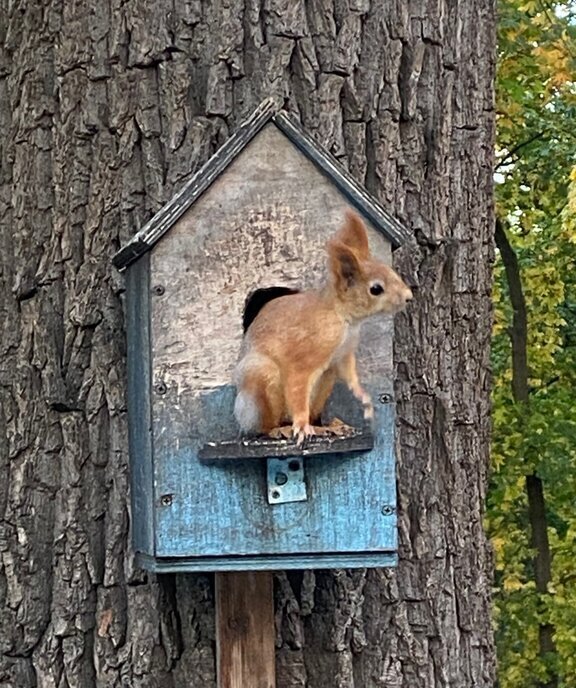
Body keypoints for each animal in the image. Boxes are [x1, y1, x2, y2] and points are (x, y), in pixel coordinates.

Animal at [232, 211, 412, 446]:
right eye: (376, 289)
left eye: (391, 271)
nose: (409, 297)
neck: (343, 318)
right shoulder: (303, 358)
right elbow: (297, 389)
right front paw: (301, 426)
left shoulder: (342, 356)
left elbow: (350, 375)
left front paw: (363, 396)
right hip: (260, 379)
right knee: (262, 427)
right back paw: (280, 429)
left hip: (325, 382)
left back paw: (326, 427)